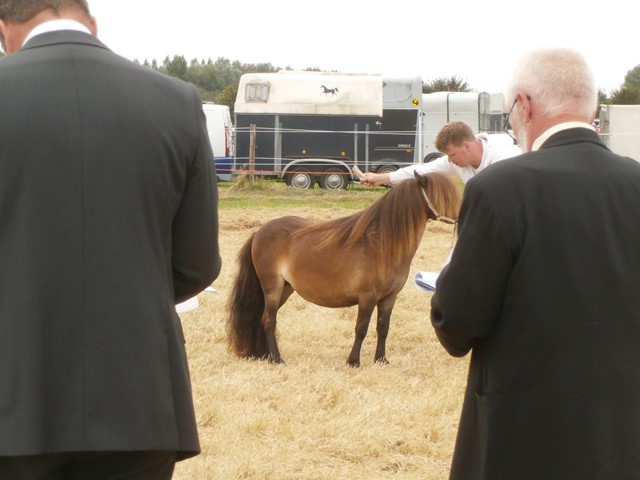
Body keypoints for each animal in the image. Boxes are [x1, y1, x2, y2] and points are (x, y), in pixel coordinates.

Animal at [226, 172, 461, 367]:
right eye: (443, 194)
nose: (461, 214)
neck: (381, 245)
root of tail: (259, 232)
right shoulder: (367, 298)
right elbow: (361, 329)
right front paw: (354, 361)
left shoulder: (388, 298)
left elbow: (383, 328)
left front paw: (381, 360)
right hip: (272, 288)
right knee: (268, 320)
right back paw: (277, 359)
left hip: (285, 289)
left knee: (263, 319)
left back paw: (265, 355)